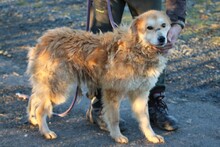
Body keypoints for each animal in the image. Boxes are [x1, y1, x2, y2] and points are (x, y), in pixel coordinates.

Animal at [26, 10, 172, 144]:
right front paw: (117, 136)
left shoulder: (141, 93)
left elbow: (145, 119)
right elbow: (114, 118)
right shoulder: (112, 92)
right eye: (149, 27)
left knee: (34, 98)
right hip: (59, 88)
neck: (137, 49)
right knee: (40, 109)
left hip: (50, 85)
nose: (162, 39)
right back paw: (45, 131)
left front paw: (151, 136)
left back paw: (34, 120)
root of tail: (44, 40)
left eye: (163, 25)